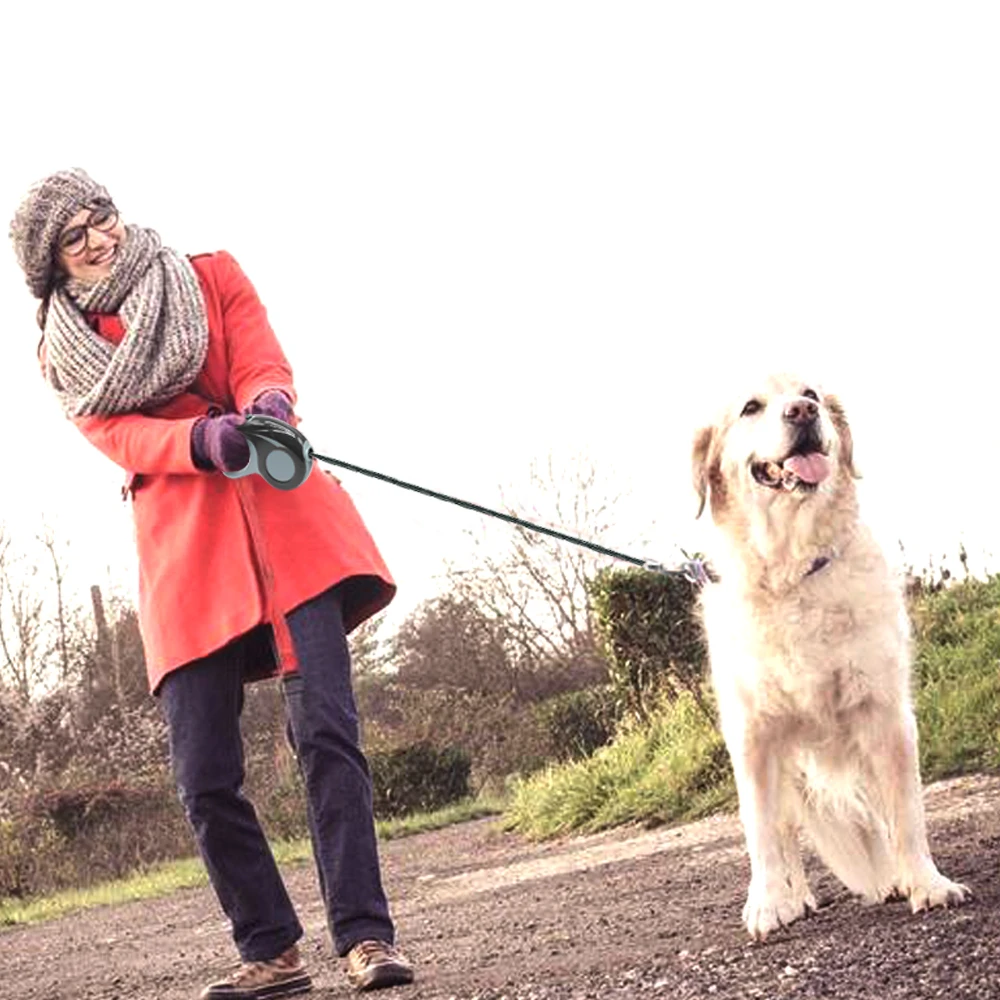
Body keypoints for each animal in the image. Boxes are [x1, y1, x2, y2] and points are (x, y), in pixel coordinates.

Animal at [692, 374, 964, 936]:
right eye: (750, 407)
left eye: (810, 393)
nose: (802, 412)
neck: (793, 570)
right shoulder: (753, 737)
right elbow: (761, 832)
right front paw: (769, 903)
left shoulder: (886, 717)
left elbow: (906, 813)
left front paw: (925, 883)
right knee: (783, 829)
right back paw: (796, 895)